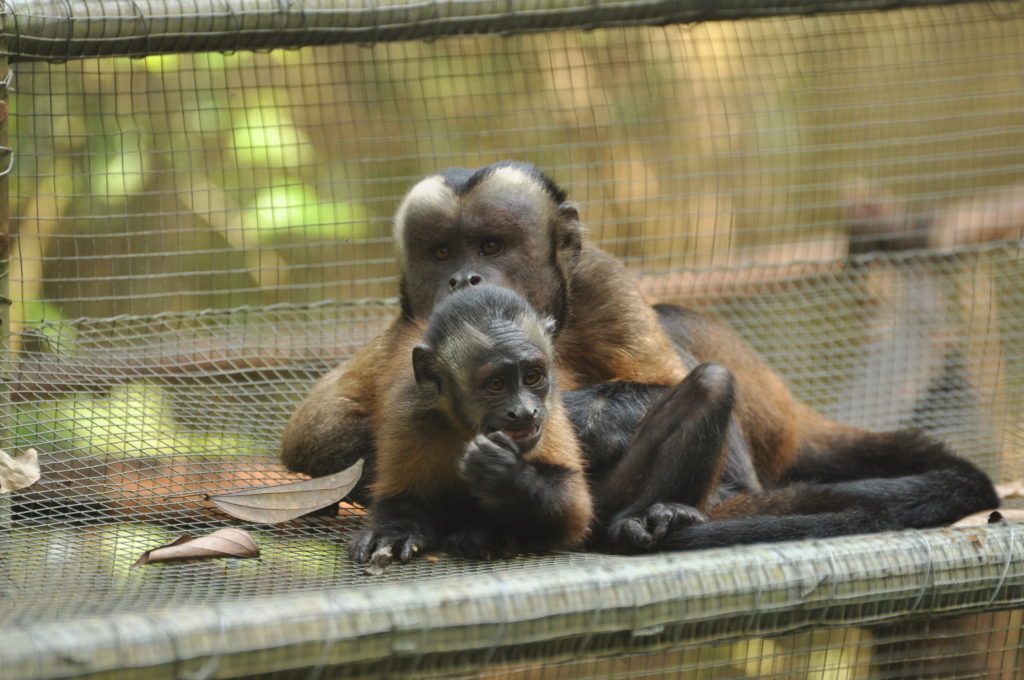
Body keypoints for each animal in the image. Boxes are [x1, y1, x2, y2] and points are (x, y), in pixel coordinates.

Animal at [350, 285, 592, 564]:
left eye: (532, 376)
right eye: (496, 383)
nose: (524, 412)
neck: (464, 428)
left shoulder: (550, 413)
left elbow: (573, 512)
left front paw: (504, 475)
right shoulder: (409, 408)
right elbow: (403, 498)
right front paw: (396, 530)